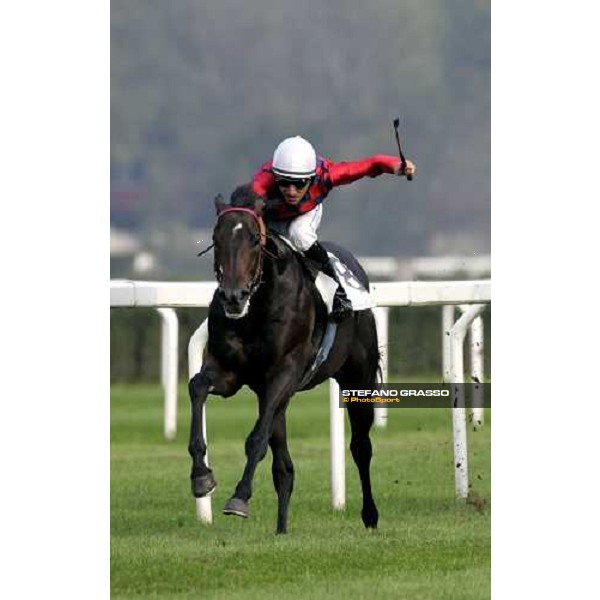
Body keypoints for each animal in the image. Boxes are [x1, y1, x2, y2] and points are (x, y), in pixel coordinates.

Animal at [189, 184, 380, 536]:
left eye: (254, 238)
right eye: (216, 238)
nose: (233, 297)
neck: (258, 307)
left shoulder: (285, 372)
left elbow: (255, 440)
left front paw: (239, 497)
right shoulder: (229, 372)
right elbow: (197, 387)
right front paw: (201, 476)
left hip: (357, 380)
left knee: (361, 447)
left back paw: (370, 515)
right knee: (284, 467)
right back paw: (281, 528)